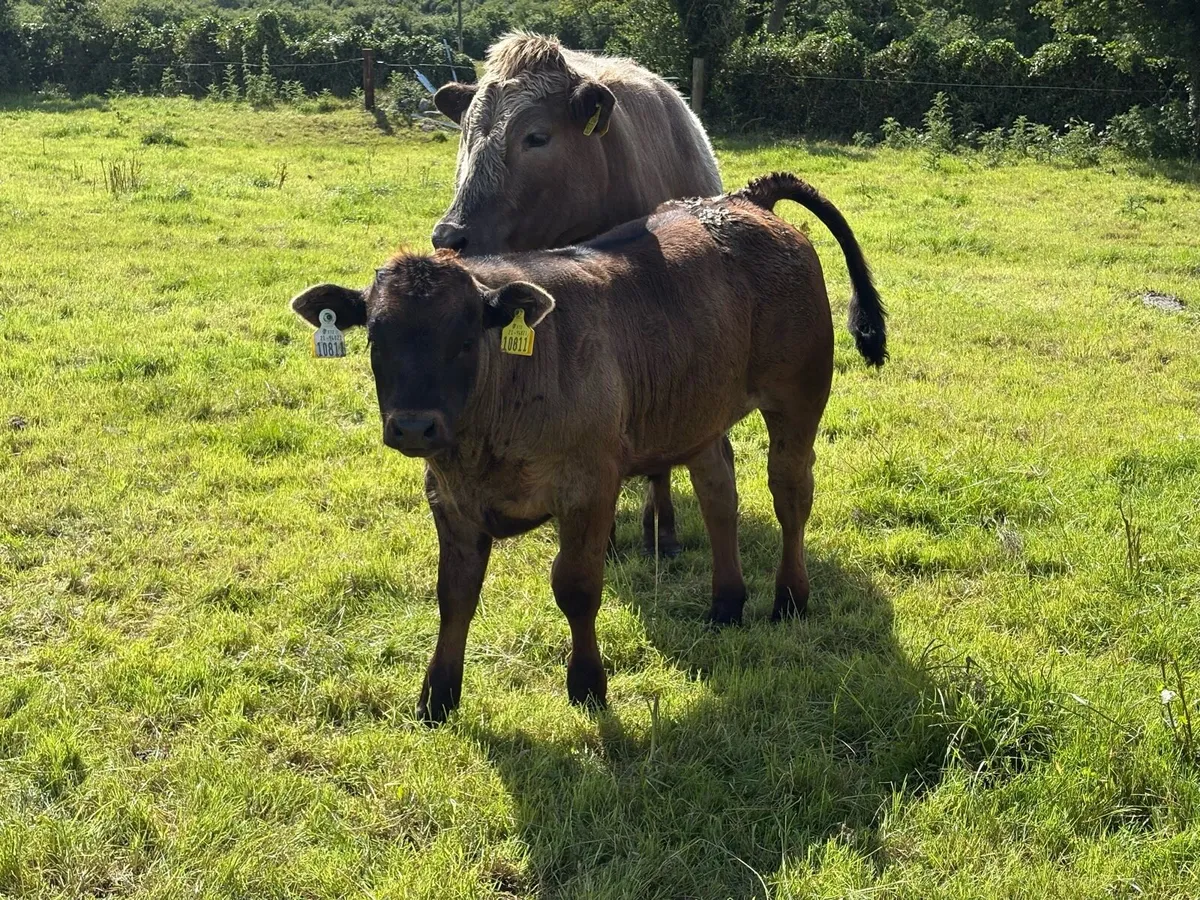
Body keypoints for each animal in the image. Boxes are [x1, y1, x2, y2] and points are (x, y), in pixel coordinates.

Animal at [290, 173, 887, 724]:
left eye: (465, 339)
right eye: (376, 338)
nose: (414, 427)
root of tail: (742, 200)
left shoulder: (589, 489)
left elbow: (576, 587)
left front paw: (587, 685)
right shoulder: (449, 499)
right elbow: (454, 593)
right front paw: (437, 696)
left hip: (799, 396)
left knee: (791, 494)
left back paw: (789, 599)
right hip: (698, 412)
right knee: (720, 494)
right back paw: (725, 603)